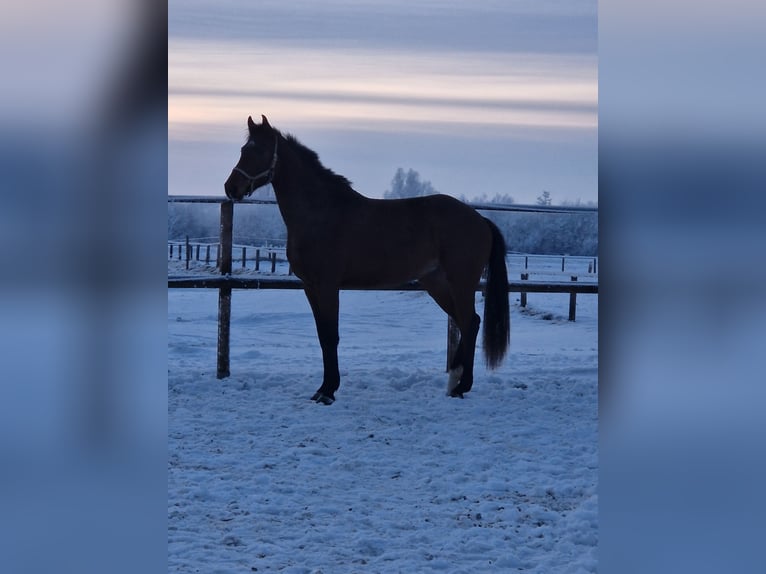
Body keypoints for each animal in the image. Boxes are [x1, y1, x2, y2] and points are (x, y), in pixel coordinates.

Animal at [224, 115, 510, 405]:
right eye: (243, 150)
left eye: (259, 151)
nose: (231, 188)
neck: (320, 213)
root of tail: (480, 220)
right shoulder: (310, 287)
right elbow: (322, 335)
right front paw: (323, 388)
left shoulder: (327, 286)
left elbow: (330, 336)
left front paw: (328, 391)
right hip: (437, 284)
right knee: (467, 323)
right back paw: (454, 381)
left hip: (461, 283)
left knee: (470, 323)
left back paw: (462, 385)